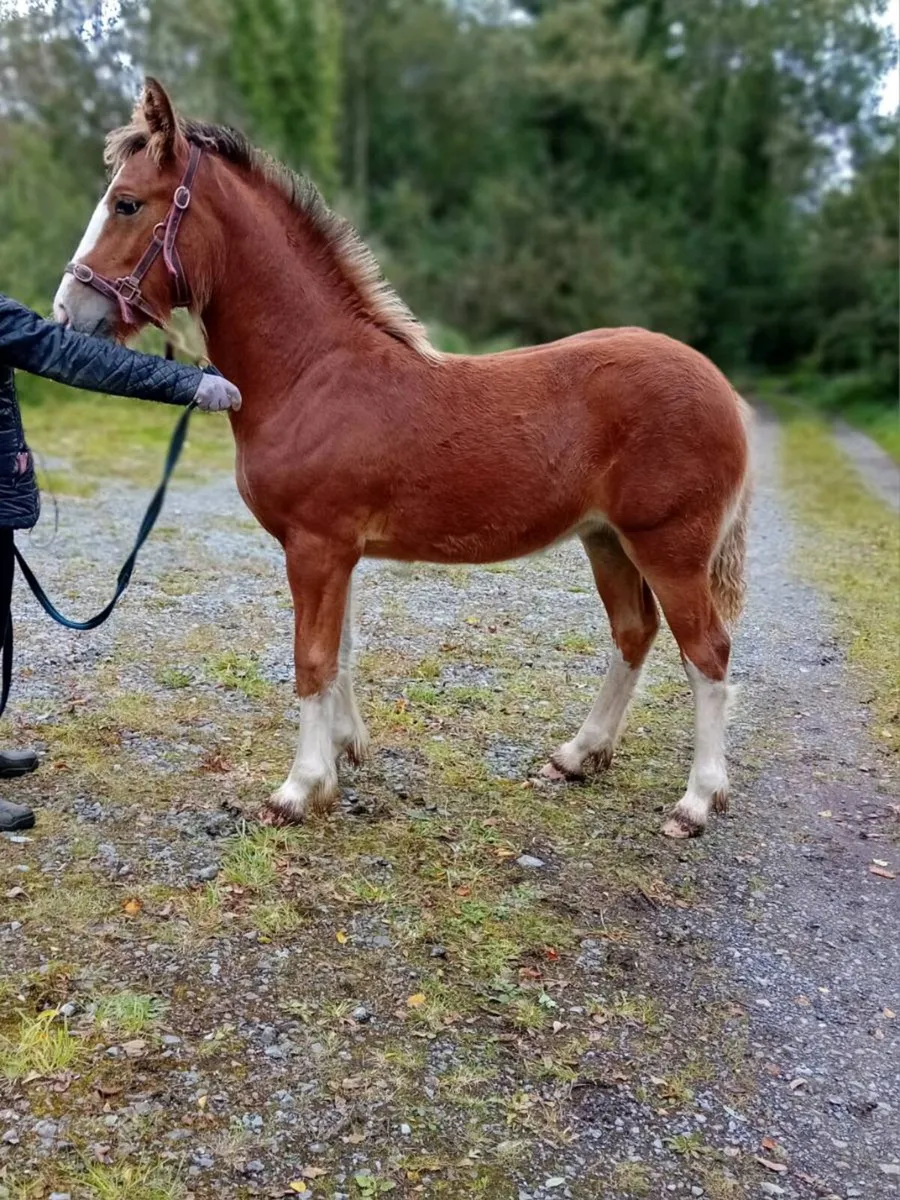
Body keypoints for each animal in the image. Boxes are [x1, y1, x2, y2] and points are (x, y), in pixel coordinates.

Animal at [53, 78, 751, 839]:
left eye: (127, 202)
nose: (66, 312)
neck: (313, 371)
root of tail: (725, 392)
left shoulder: (316, 545)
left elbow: (312, 658)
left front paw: (299, 789)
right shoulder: (337, 551)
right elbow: (342, 652)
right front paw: (344, 753)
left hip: (669, 550)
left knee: (707, 654)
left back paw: (695, 802)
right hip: (607, 541)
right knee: (634, 634)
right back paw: (577, 756)